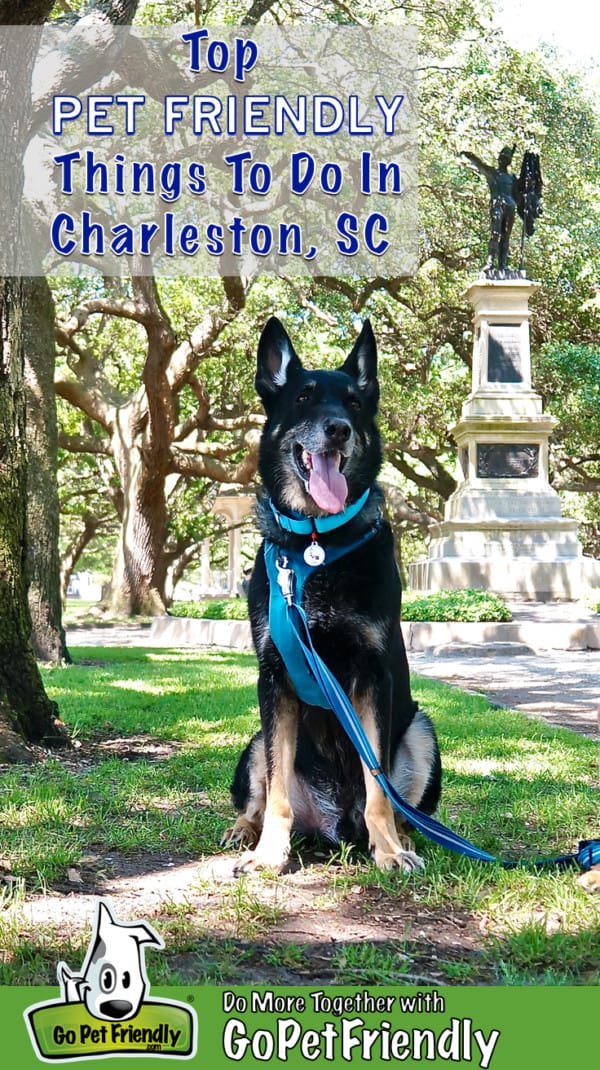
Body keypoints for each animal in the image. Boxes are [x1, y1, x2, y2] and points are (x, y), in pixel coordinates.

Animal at [220, 314, 440, 868]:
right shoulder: (274, 681)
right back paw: (244, 831)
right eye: (303, 398)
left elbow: (379, 785)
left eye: (355, 404)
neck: (317, 542)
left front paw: (389, 852)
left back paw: (400, 838)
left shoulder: (372, 679)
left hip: (421, 730)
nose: (337, 428)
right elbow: (276, 790)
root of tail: (335, 826)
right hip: (254, 740)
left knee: (405, 809)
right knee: (258, 795)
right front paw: (268, 854)